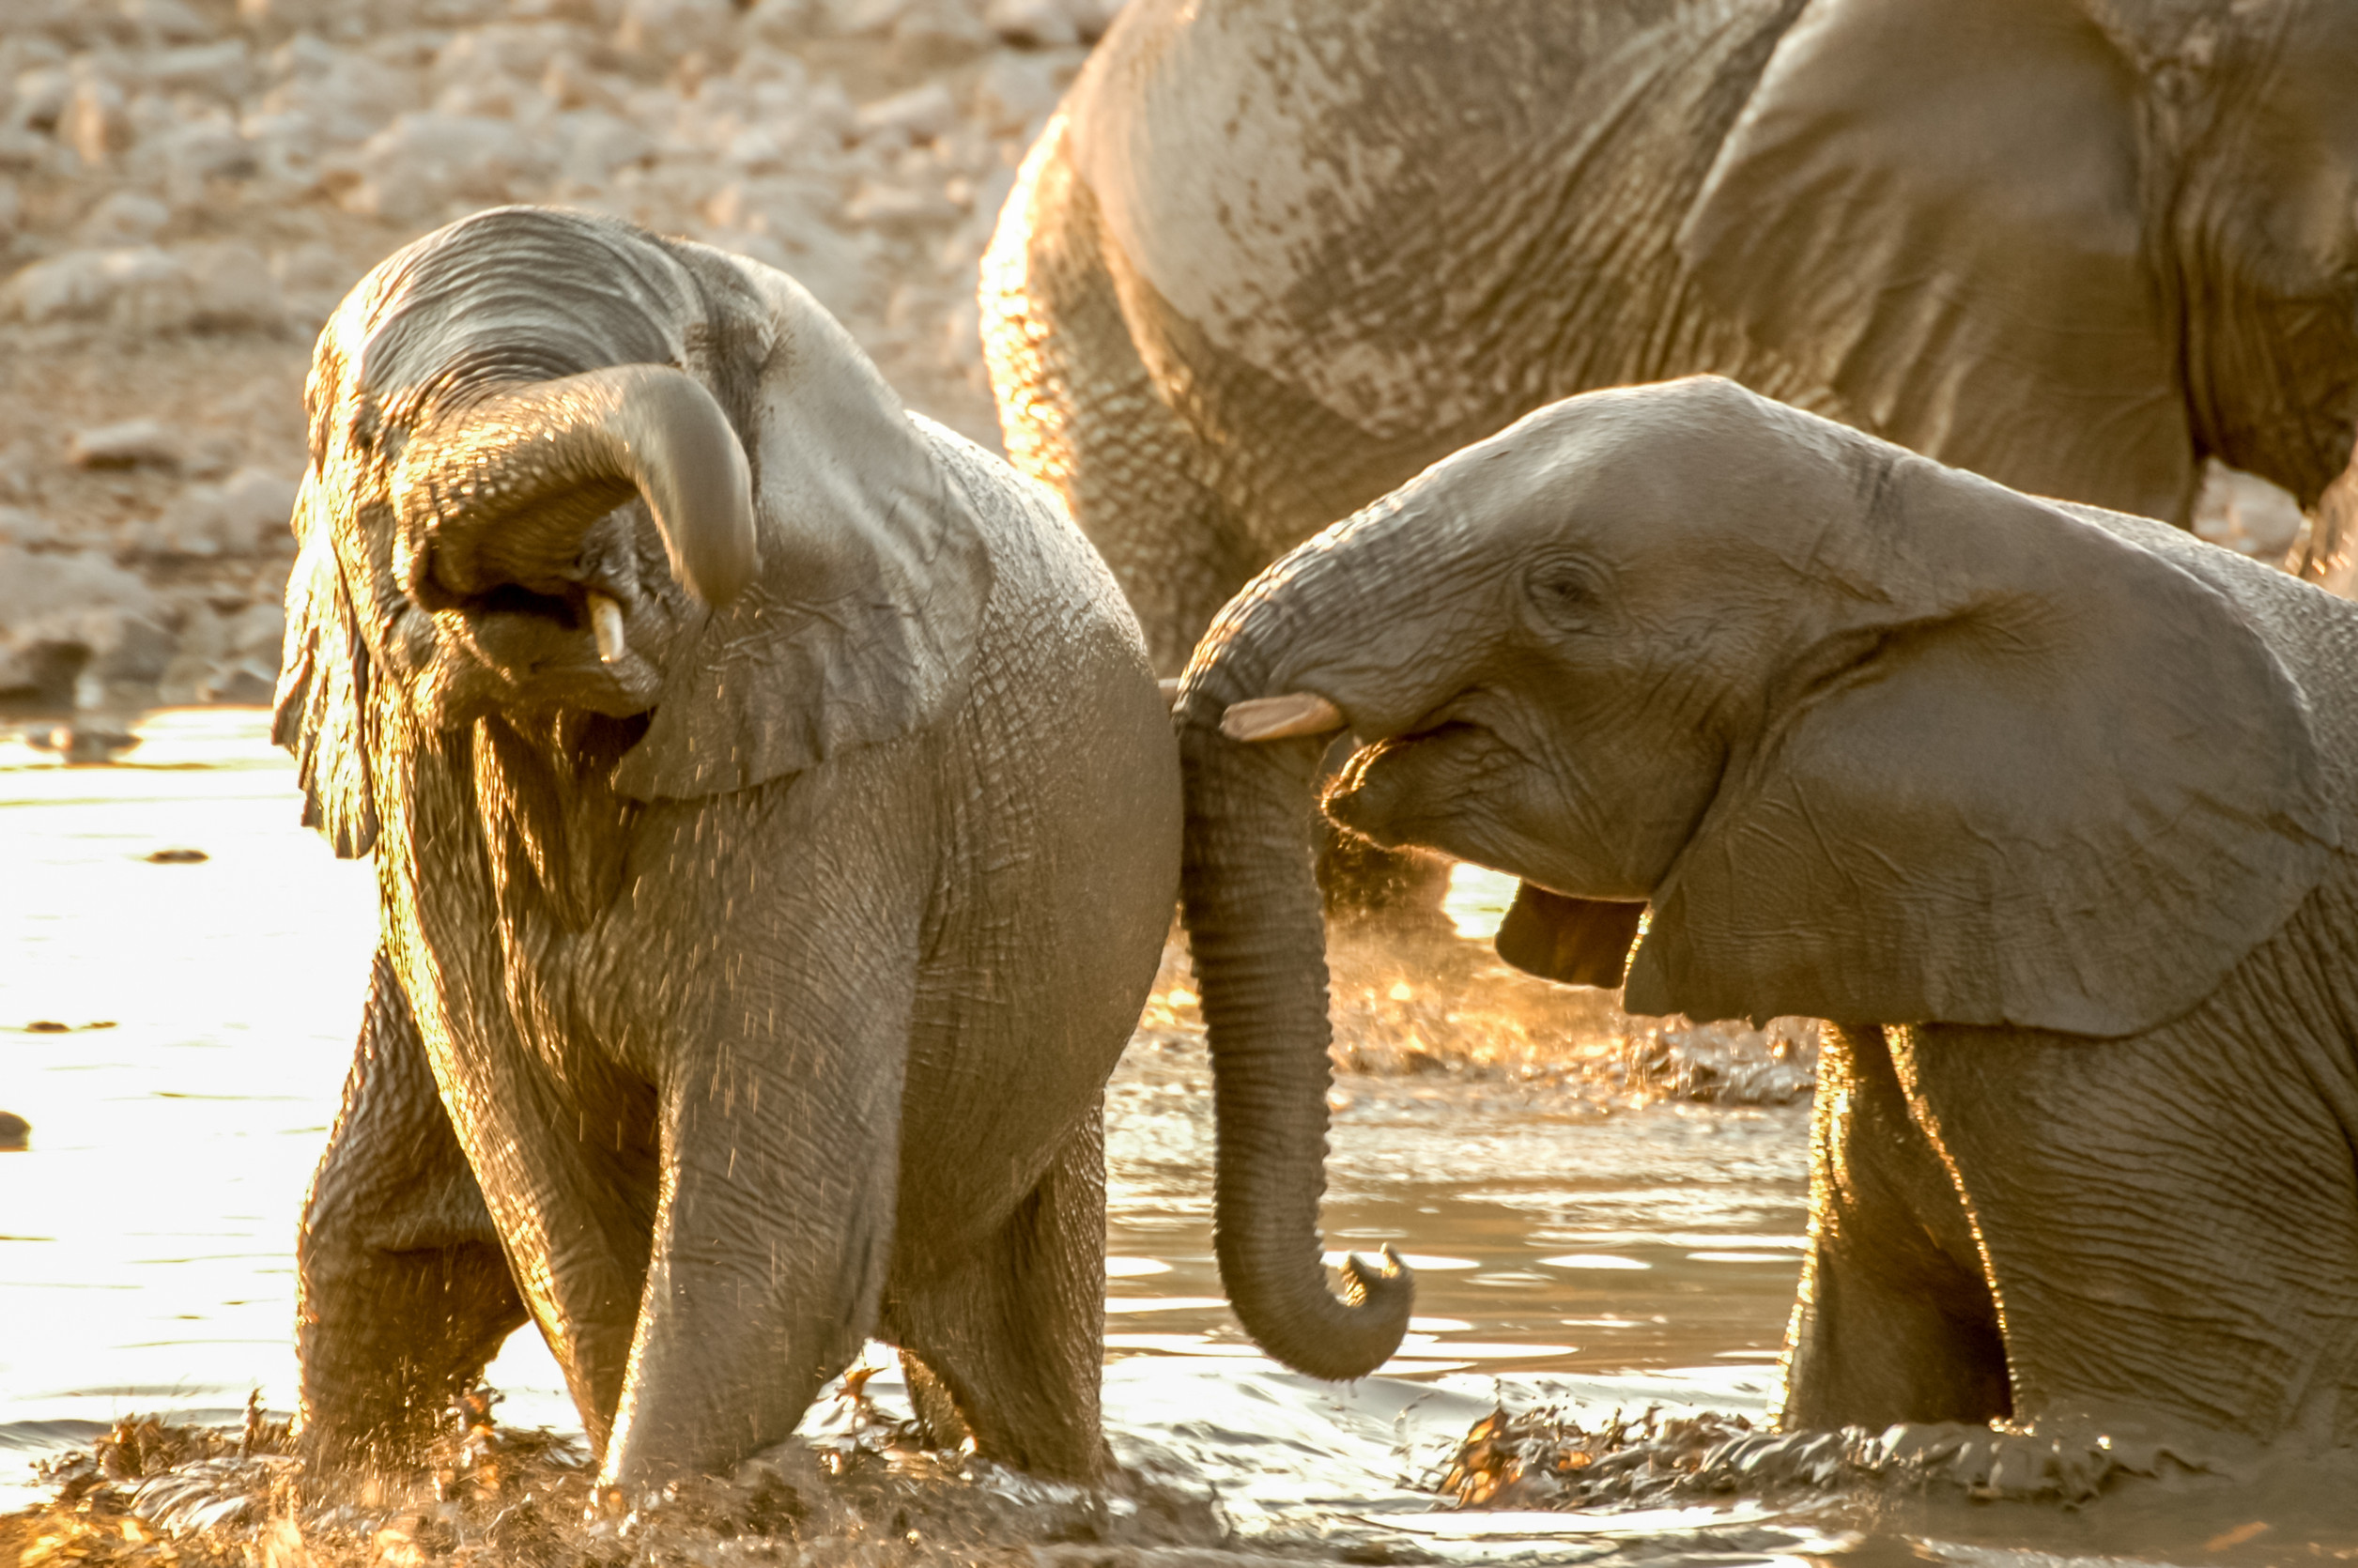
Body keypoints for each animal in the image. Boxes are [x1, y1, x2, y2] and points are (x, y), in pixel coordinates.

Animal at [280, 201, 1179, 1490]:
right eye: (368, 438)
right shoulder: (430, 788)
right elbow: (557, 1194)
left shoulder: (838, 773)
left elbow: (762, 1237)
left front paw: (647, 1505)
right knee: (362, 1250)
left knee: (1032, 1363)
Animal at [1188, 372, 2358, 1461]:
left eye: (1564, 590)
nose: (1376, 1262)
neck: (1946, 526)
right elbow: (1854, 1389)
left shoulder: (2161, 1041)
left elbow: (2159, 1430)